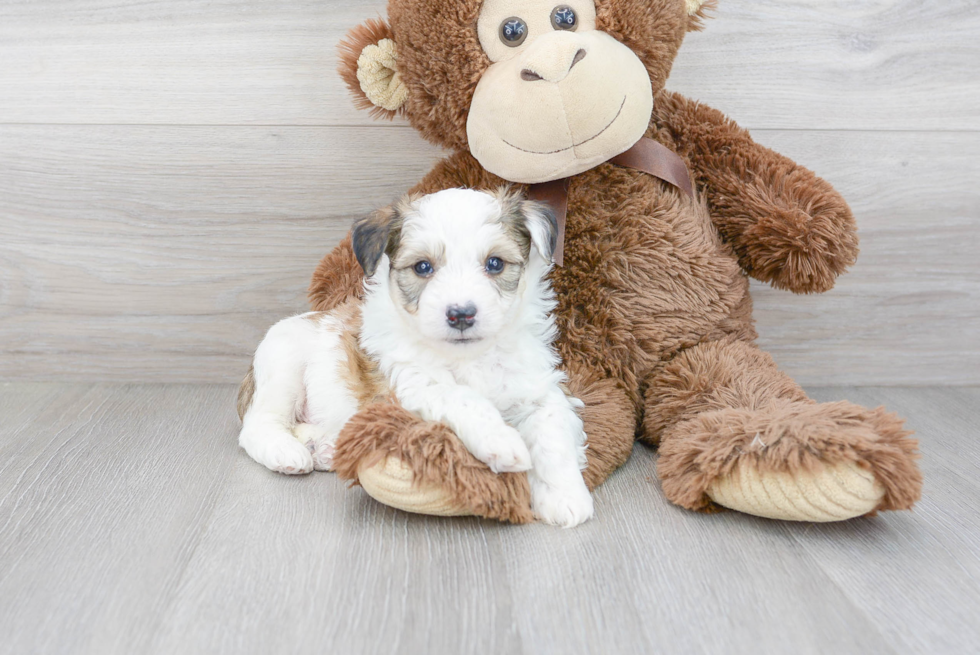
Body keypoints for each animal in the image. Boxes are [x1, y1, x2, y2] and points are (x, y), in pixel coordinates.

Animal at [239, 187, 588, 524]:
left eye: (495, 263)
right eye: (423, 267)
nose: (461, 314)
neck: (469, 357)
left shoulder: (537, 387)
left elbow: (552, 432)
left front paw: (564, 496)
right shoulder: (411, 385)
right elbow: (464, 398)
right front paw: (501, 440)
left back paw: (323, 447)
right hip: (283, 365)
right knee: (258, 425)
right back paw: (287, 451)